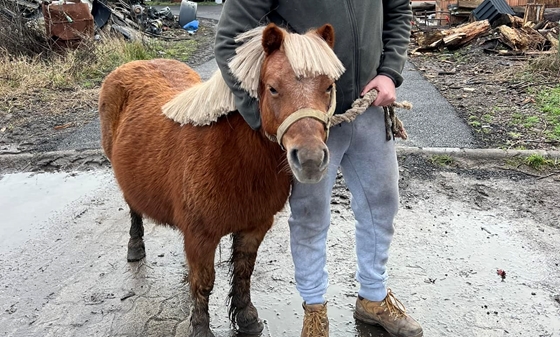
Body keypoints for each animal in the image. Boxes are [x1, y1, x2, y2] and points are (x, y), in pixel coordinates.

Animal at [100, 23, 344, 336]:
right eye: (273, 88)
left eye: (328, 86)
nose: (311, 160)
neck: (232, 155)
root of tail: (133, 64)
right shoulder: (202, 236)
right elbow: (205, 283)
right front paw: (201, 327)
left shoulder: (254, 227)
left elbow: (242, 272)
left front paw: (246, 317)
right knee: (133, 207)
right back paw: (135, 247)